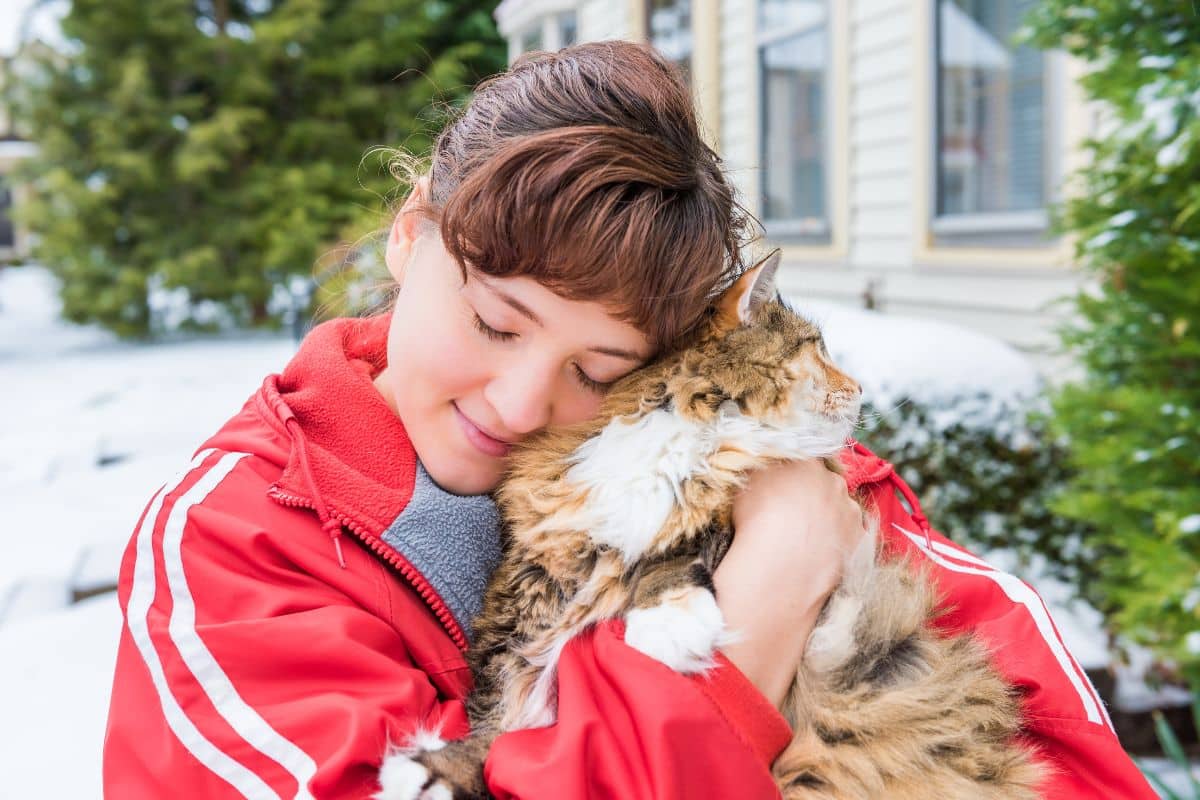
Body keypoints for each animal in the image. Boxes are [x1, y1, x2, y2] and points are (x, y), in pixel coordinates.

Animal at [374, 251, 1041, 800]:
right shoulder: (531, 603)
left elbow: (674, 552)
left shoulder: (704, 527)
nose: (859, 389)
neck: (690, 437)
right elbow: (501, 725)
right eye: (817, 348)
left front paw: (667, 626)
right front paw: (436, 769)